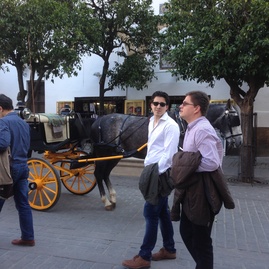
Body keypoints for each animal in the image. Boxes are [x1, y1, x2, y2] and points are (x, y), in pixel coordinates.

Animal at [80, 98, 241, 209]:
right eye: (234, 120)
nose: (239, 141)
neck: (184, 124)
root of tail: (98, 120)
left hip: (114, 155)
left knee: (105, 174)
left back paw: (112, 198)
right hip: (103, 153)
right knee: (98, 174)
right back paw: (106, 201)